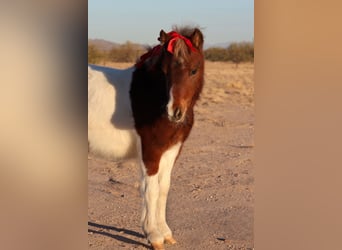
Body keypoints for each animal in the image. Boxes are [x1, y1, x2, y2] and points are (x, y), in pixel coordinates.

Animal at [88, 26, 204, 249]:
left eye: (194, 70)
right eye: (165, 72)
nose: (175, 112)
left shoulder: (171, 150)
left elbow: (163, 187)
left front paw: (166, 233)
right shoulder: (151, 151)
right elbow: (151, 189)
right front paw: (154, 236)